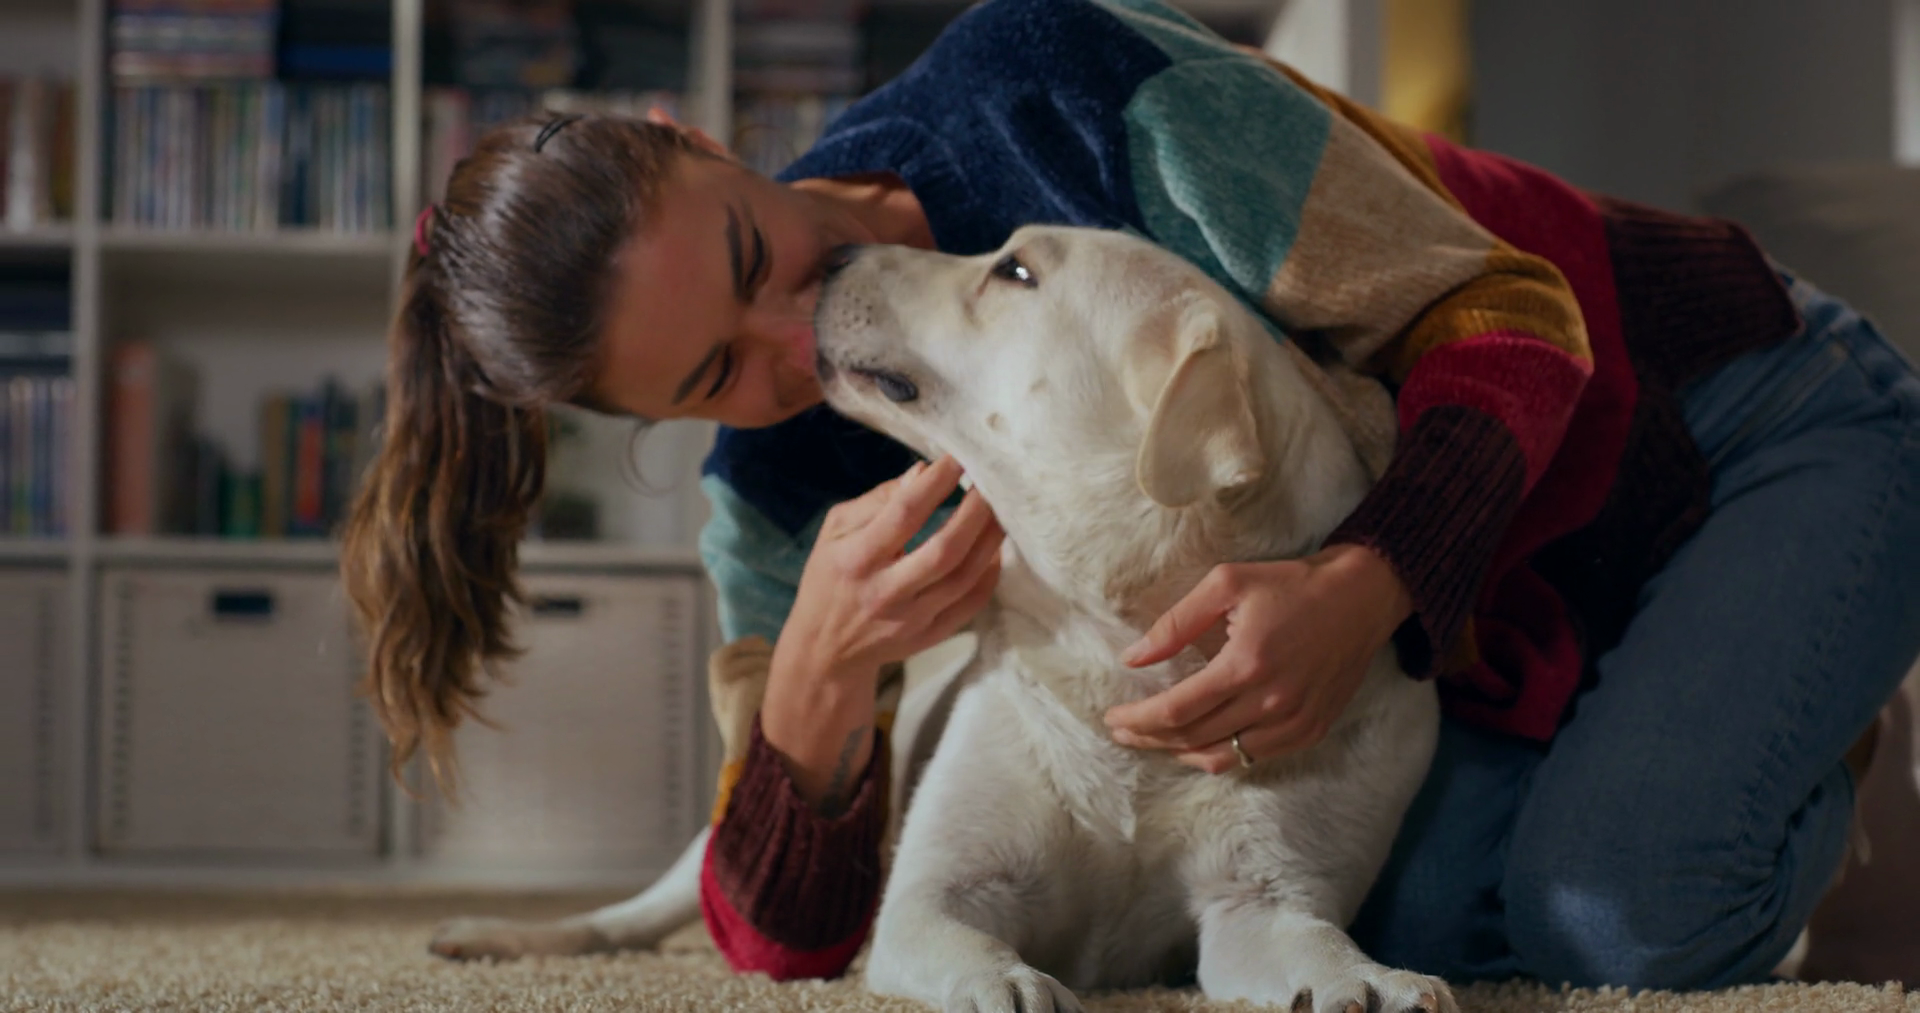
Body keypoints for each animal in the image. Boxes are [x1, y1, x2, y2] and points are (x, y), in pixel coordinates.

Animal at [430, 226, 1449, 1013]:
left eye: (1016, 270)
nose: (833, 250)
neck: (1123, 656)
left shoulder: (1261, 897)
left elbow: (1311, 941)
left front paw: (1374, 977)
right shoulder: (939, 891)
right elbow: (967, 942)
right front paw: (1013, 983)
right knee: (636, 911)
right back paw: (492, 933)